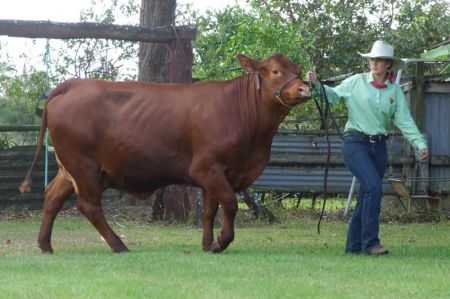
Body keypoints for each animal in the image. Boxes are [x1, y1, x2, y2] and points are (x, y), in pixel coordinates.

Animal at [20, 53, 310, 253]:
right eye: (275, 71)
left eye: (298, 69)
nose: (305, 88)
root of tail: (72, 85)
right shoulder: (208, 168)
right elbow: (229, 203)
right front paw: (221, 242)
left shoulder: (217, 174)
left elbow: (209, 210)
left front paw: (207, 244)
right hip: (84, 167)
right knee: (88, 206)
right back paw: (118, 245)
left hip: (69, 168)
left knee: (52, 196)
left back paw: (45, 244)